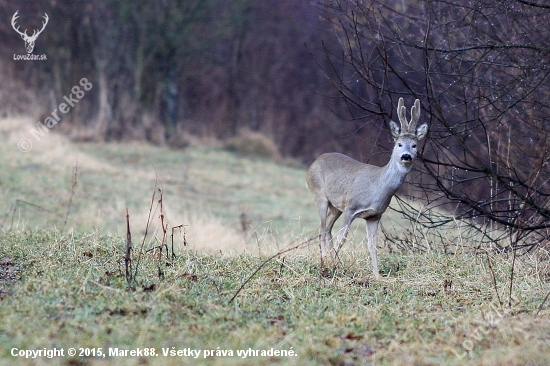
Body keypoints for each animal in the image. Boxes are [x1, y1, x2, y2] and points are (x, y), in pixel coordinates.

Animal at [308, 98, 430, 278]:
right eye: (399, 144)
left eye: (414, 145)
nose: (406, 156)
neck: (378, 188)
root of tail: (313, 164)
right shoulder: (351, 208)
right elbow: (342, 238)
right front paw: (334, 267)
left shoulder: (374, 215)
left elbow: (372, 244)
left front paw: (377, 275)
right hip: (319, 195)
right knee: (322, 230)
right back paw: (326, 262)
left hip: (336, 206)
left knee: (327, 228)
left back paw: (331, 259)